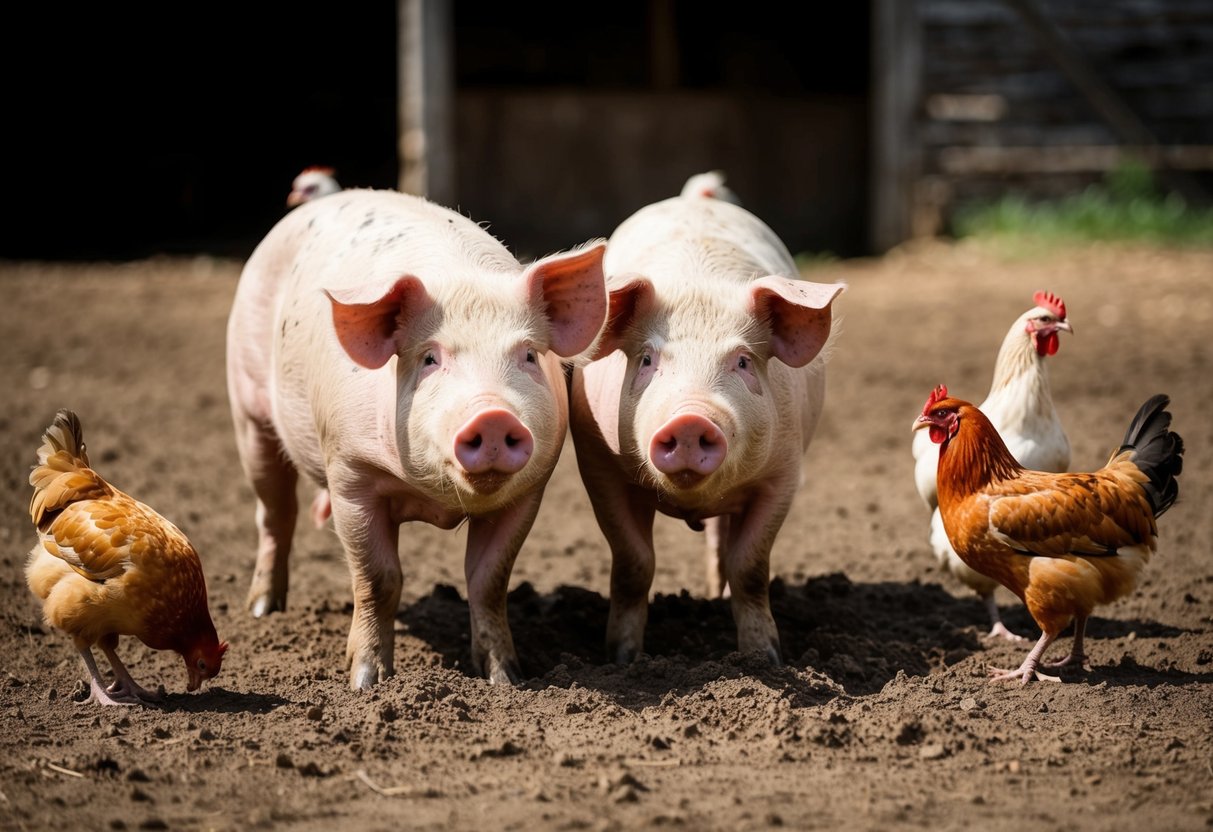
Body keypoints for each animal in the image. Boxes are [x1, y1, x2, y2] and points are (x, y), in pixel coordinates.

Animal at [225, 188, 607, 689]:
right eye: (429, 358)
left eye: (527, 355)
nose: (492, 415)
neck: (436, 500)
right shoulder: (350, 474)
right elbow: (378, 578)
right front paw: (366, 683)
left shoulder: (529, 491)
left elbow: (489, 580)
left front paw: (506, 680)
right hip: (248, 409)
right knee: (274, 513)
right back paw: (263, 611)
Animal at [569, 190, 844, 666]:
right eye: (647, 359)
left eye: (743, 361)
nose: (690, 418)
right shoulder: (599, 467)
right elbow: (633, 563)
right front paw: (623, 659)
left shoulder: (783, 474)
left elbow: (750, 567)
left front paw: (765, 659)